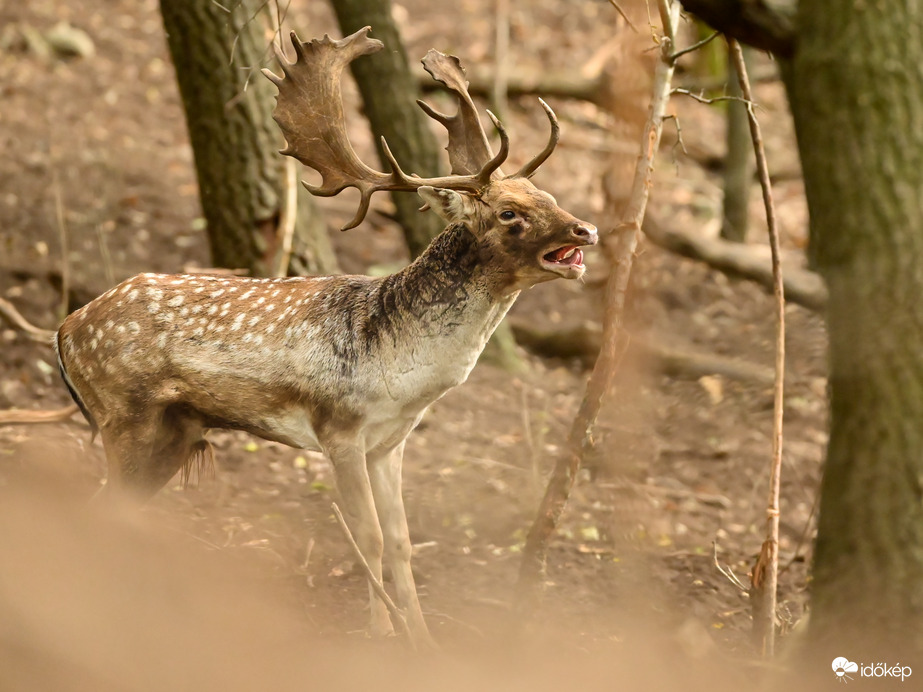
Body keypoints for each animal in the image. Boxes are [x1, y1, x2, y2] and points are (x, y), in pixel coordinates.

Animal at [54, 27, 596, 644]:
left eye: (547, 195)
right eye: (509, 212)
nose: (586, 229)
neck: (398, 370)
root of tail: (65, 328)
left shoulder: (390, 442)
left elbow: (403, 542)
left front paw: (423, 638)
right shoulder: (338, 427)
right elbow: (369, 538)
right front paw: (381, 635)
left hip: (175, 430)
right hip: (123, 415)